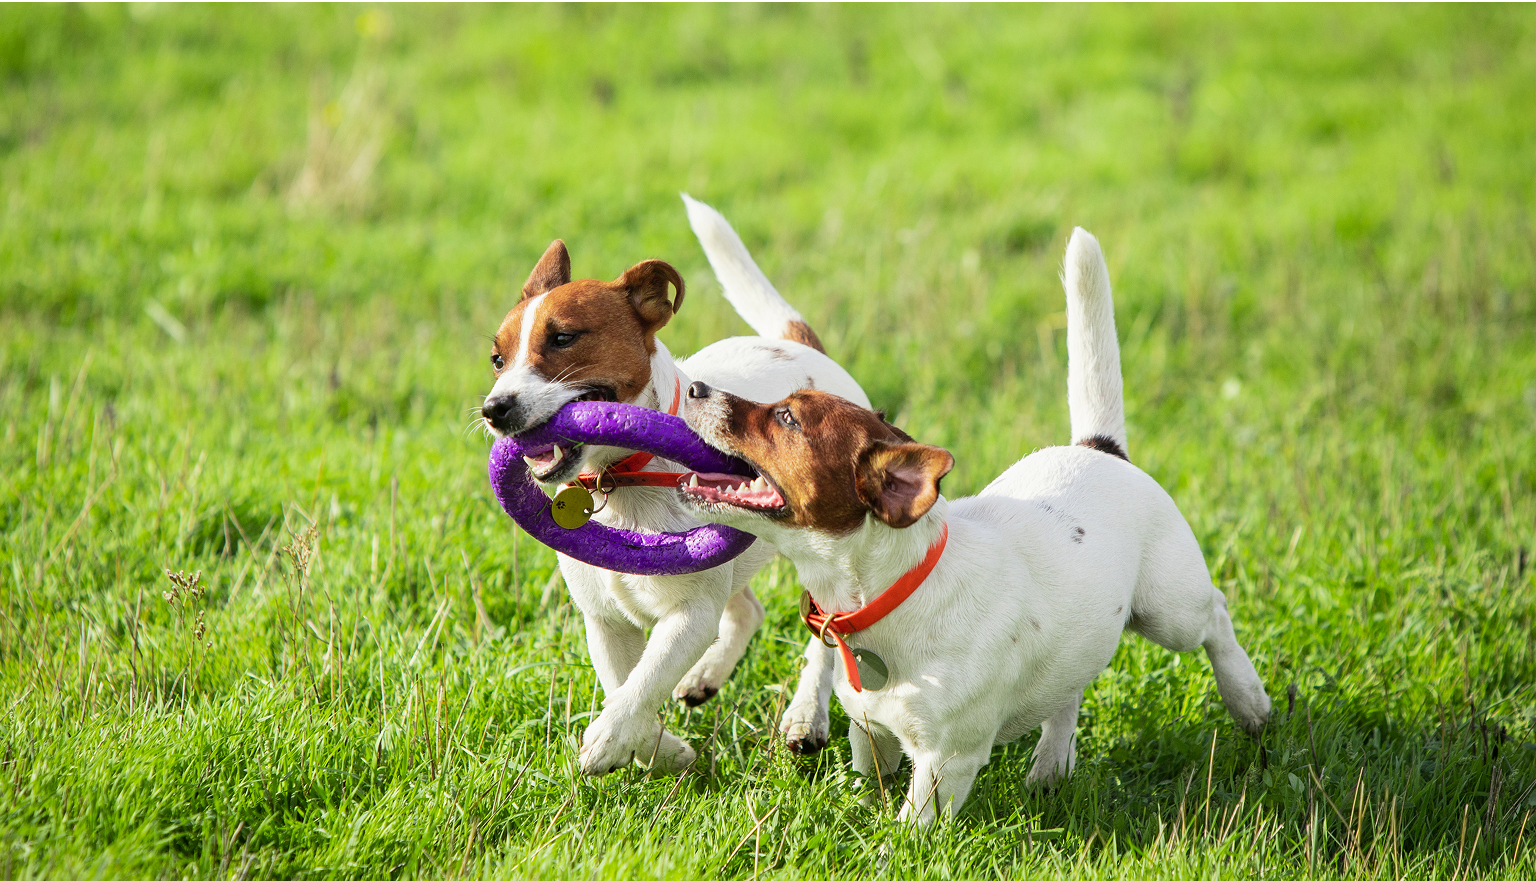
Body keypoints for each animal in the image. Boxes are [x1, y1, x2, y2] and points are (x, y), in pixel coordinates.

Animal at [480, 196, 863, 774]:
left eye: (564, 337)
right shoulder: (604, 621)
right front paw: (661, 749)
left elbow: (643, 683)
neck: (621, 480)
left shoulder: (689, 615)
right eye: (497, 359)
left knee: (825, 633)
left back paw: (804, 716)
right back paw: (705, 677)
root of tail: (799, 347)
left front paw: (609, 740)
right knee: (747, 610)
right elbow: (624, 683)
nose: (494, 409)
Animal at [677, 228, 1272, 821]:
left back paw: (1250, 701)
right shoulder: (872, 730)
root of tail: (1100, 448)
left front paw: (891, 839)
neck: (892, 594)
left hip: (1169, 609)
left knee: (1216, 614)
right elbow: (872, 777)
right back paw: (1052, 763)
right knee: (1071, 687)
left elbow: (911, 825)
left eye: (787, 418)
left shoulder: (946, 761)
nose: (695, 387)